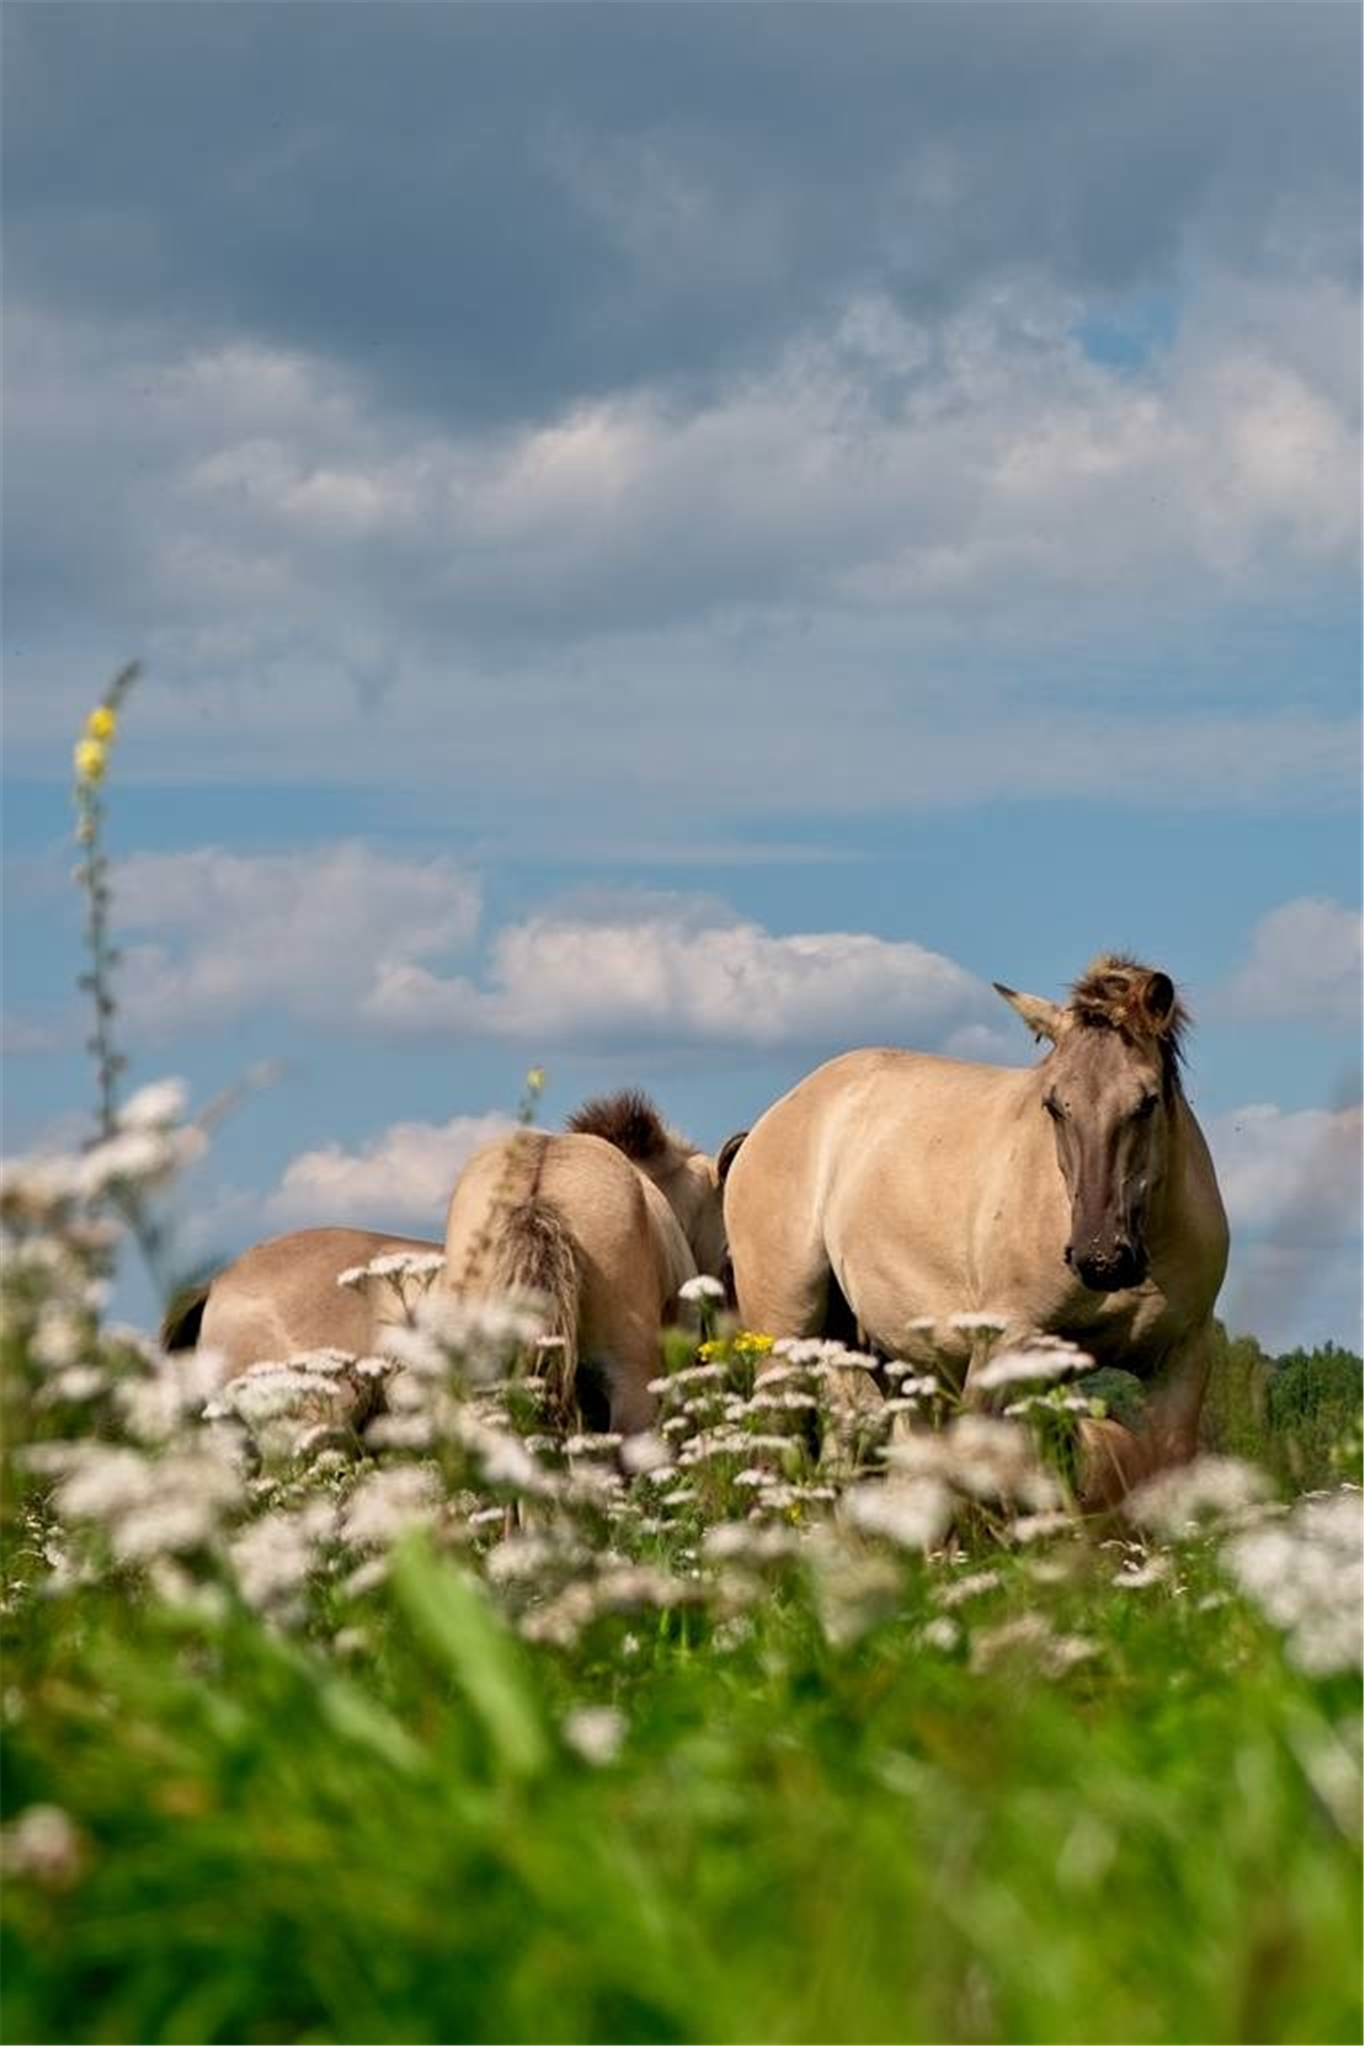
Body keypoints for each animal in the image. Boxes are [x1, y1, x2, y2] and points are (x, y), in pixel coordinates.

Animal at [723, 953, 1235, 1505]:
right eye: (1054, 1105)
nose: (1101, 1258)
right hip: (786, 1332)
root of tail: (777, 1116)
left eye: (1147, 1101)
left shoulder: (1179, 1365)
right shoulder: (1003, 1350)